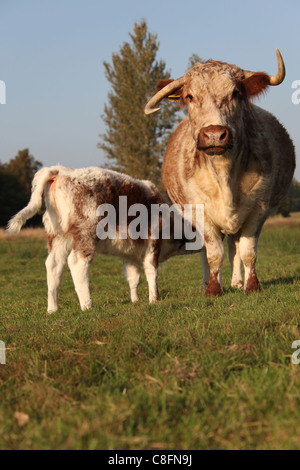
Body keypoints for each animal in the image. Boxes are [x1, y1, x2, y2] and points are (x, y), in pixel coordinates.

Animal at [7, 165, 200, 312]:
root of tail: (62, 171)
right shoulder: (153, 243)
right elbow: (152, 272)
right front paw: (154, 299)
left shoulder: (131, 254)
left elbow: (133, 277)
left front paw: (135, 300)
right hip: (85, 233)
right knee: (77, 263)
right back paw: (87, 305)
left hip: (58, 236)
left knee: (54, 265)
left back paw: (53, 309)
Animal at [145, 49, 296, 296]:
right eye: (190, 96)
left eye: (235, 93)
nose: (214, 134)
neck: (225, 176)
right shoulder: (201, 214)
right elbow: (214, 253)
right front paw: (214, 289)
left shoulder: (258, 210)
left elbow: (248, 252)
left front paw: (251, 286)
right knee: (206, 252)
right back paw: (207, 282)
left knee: (235, 248)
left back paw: (236, 282)